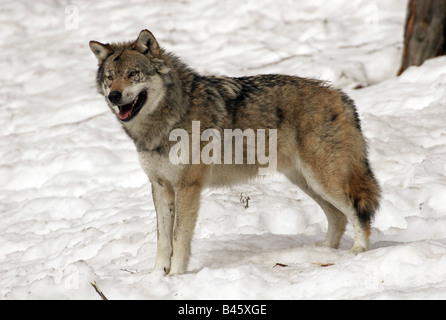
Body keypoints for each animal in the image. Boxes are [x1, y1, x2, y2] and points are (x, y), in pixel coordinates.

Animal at [89, 30, 380, 276]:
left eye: (133, 73)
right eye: (110, 77)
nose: (114, 96)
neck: (170, 118)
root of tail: (341, 95)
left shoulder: (188, 187)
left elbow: (178, 237)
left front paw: (175, 276)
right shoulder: (160, 186)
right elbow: (162, 239)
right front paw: (157, 276)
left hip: (325, 181)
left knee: (358, 212)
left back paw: (358, 250)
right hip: (306, 182)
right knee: (338, 216)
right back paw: (322, 252)